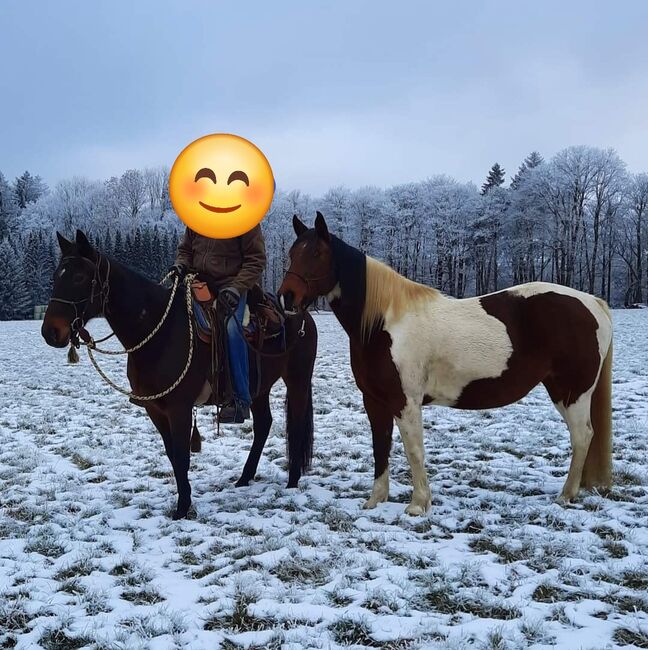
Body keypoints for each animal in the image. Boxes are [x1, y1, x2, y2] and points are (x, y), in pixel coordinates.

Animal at [41, 230, 318, 520]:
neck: (158, 331)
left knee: (297, 423)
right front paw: (185, 501)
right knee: (264, 424)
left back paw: (292, 480)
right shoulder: (155, 409)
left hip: (298, 380)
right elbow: (173, 455)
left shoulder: (179, 408)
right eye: (57, 275)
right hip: (258, 388)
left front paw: (182, 508)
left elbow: (182, 455)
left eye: (80, 277)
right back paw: (244, 478)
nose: (50, 332)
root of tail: (300, 314)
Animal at [278, 213, 612, 516]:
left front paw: (418, 504)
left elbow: (414, 451)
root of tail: (594, 303)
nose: (287, 297)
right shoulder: (374, 400)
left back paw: (565, 496)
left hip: (572, 393)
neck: (384, 324)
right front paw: (375, 500)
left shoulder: (406, 402)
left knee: (582, 436)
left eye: (317, 254)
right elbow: (380, 446)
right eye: (293, 253)